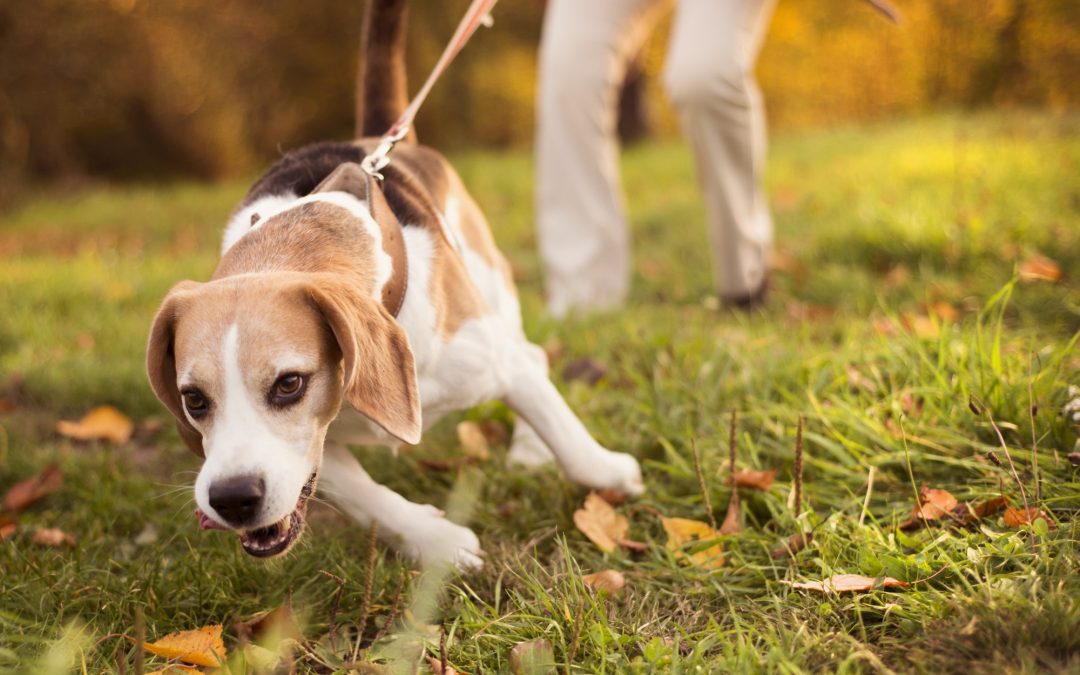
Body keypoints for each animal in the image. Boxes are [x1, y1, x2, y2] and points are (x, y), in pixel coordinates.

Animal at [143, 0, 639, 570]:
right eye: (193, 399)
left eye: (289, 384)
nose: (231, 498)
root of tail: (377, 141)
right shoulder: (318, 448)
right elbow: (365, 497)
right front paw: (435, 541)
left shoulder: (494, 361)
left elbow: (569, 442)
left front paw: (611, 473)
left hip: (491, 291)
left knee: (533, 354)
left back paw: (530, 449)